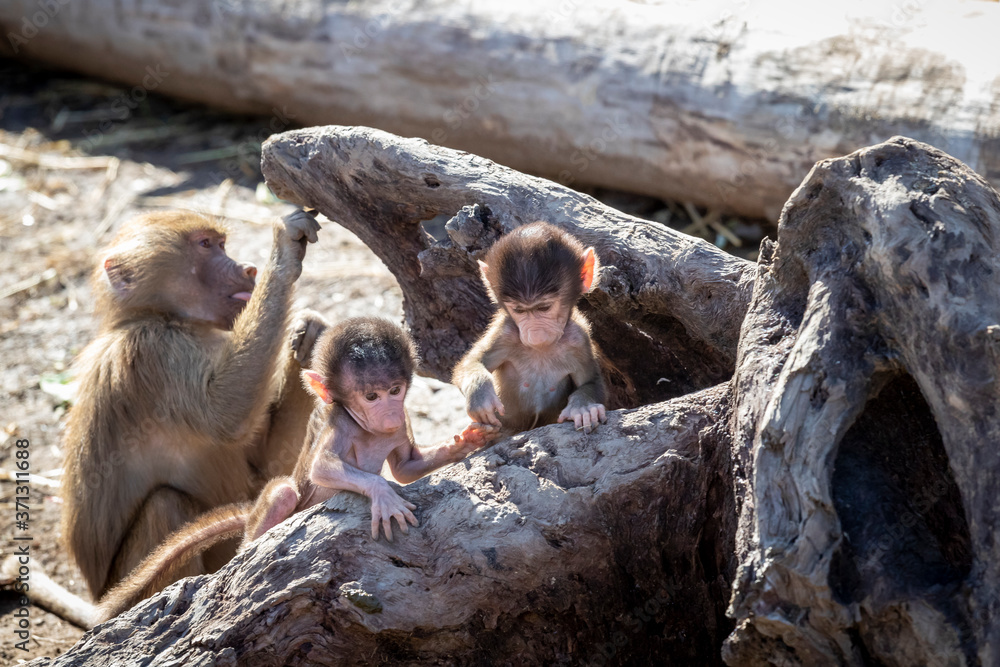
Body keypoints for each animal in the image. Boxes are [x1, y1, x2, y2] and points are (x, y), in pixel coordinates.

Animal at [60, 207, 325, 609]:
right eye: (205, 245)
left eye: (222, 244)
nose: (249, 269)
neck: (164, 317)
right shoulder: (154, 351)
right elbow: (226, 415)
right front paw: (284, 252)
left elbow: (266, 461)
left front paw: (308, 336)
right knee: (165, 505)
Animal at [95, 317, 494, 622]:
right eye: (371, 397)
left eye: (395, 390)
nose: (389, 412)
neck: (369, 430)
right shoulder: (340, 426)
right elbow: (321, 469)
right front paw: (382, 492)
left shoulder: (400, 426)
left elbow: (407, 467)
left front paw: (466, 441)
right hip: (272, 512)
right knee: (284, 493)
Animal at [452, 221, 608, 435]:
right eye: (519, 310)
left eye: (544, 307)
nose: (535, 334)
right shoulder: (506, 332)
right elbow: (472, 361)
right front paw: (480, 394)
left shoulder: (579, 339)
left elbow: (590, 381)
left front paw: (583, 407)